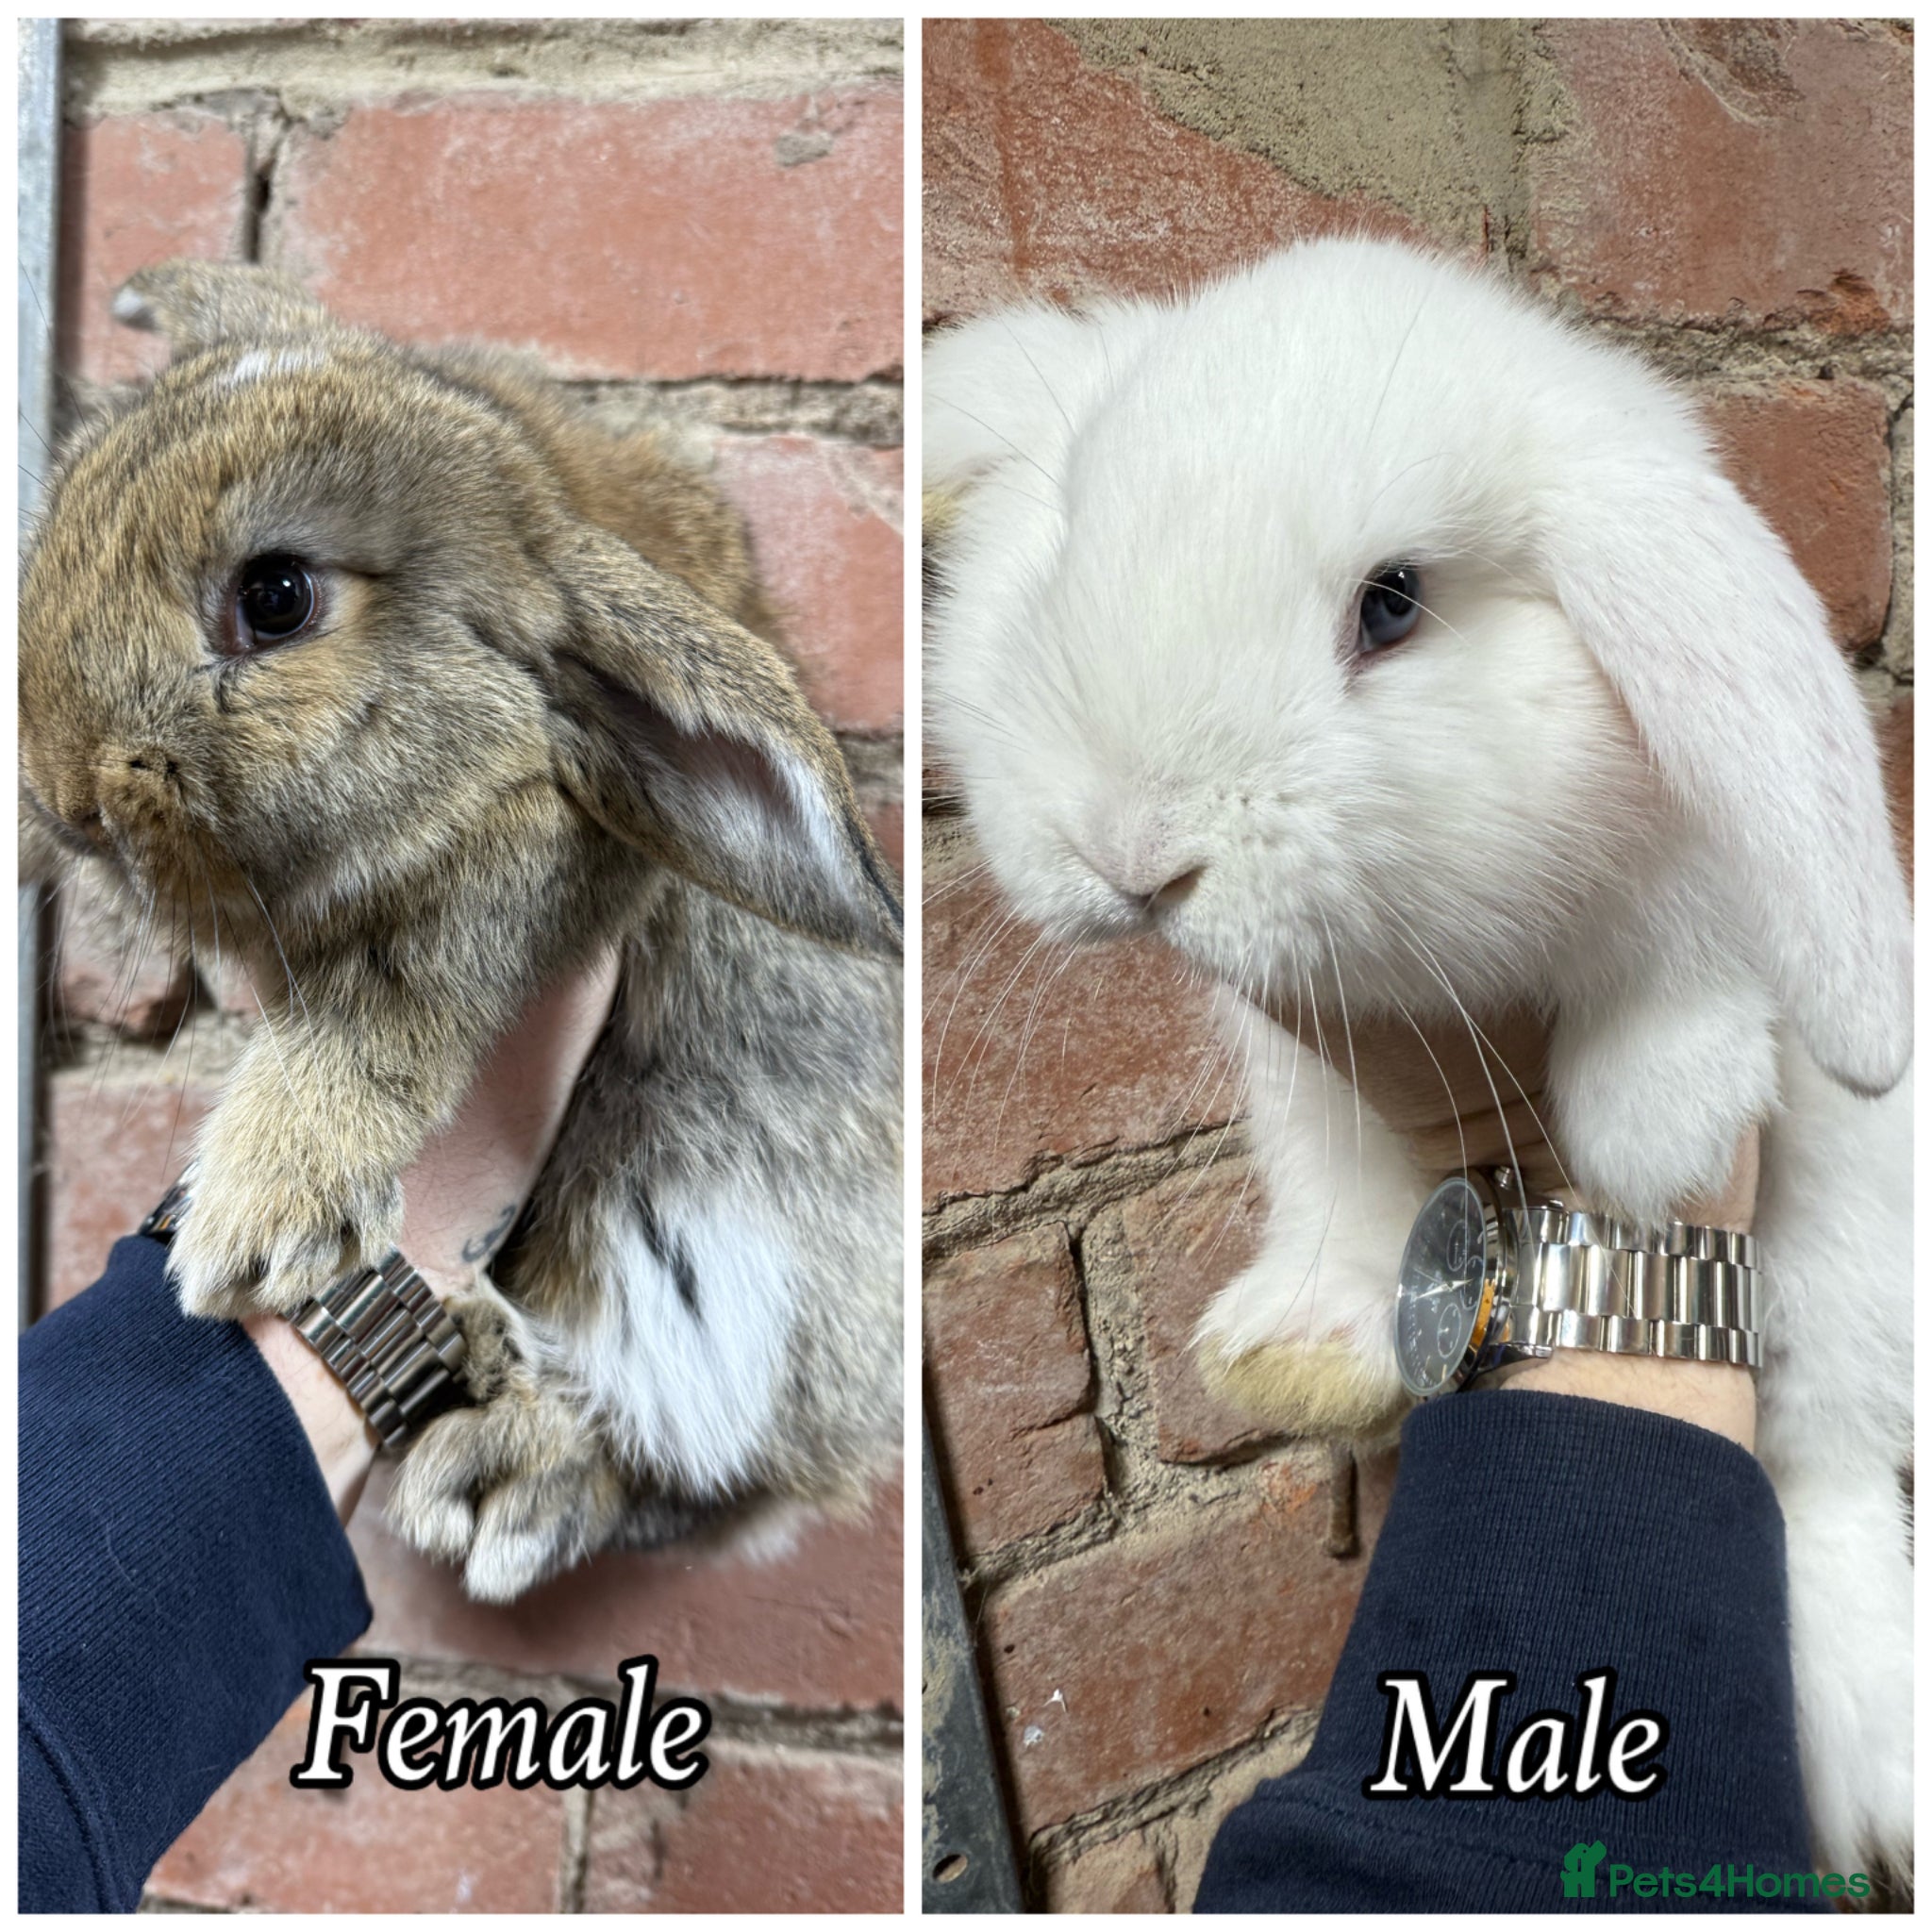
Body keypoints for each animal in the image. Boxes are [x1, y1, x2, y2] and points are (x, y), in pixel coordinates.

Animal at [21, 260, 904, 1603]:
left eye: (275, 598)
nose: (62, 796)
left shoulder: (501, 898)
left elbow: (374, 1026)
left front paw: (249, 1229)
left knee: (696, 1462)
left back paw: (500, 1476)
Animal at [923, 237, 1911, 1883]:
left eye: (1392, 607)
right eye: (1064, 554)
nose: (1134, 858)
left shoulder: (1689, 886)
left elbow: (1691, 974)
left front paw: (1654, 1126)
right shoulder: (1308, 1060)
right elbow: (1337, 1173)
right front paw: (1301, 1346)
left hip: (1845, 1291)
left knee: (1828, 1481)